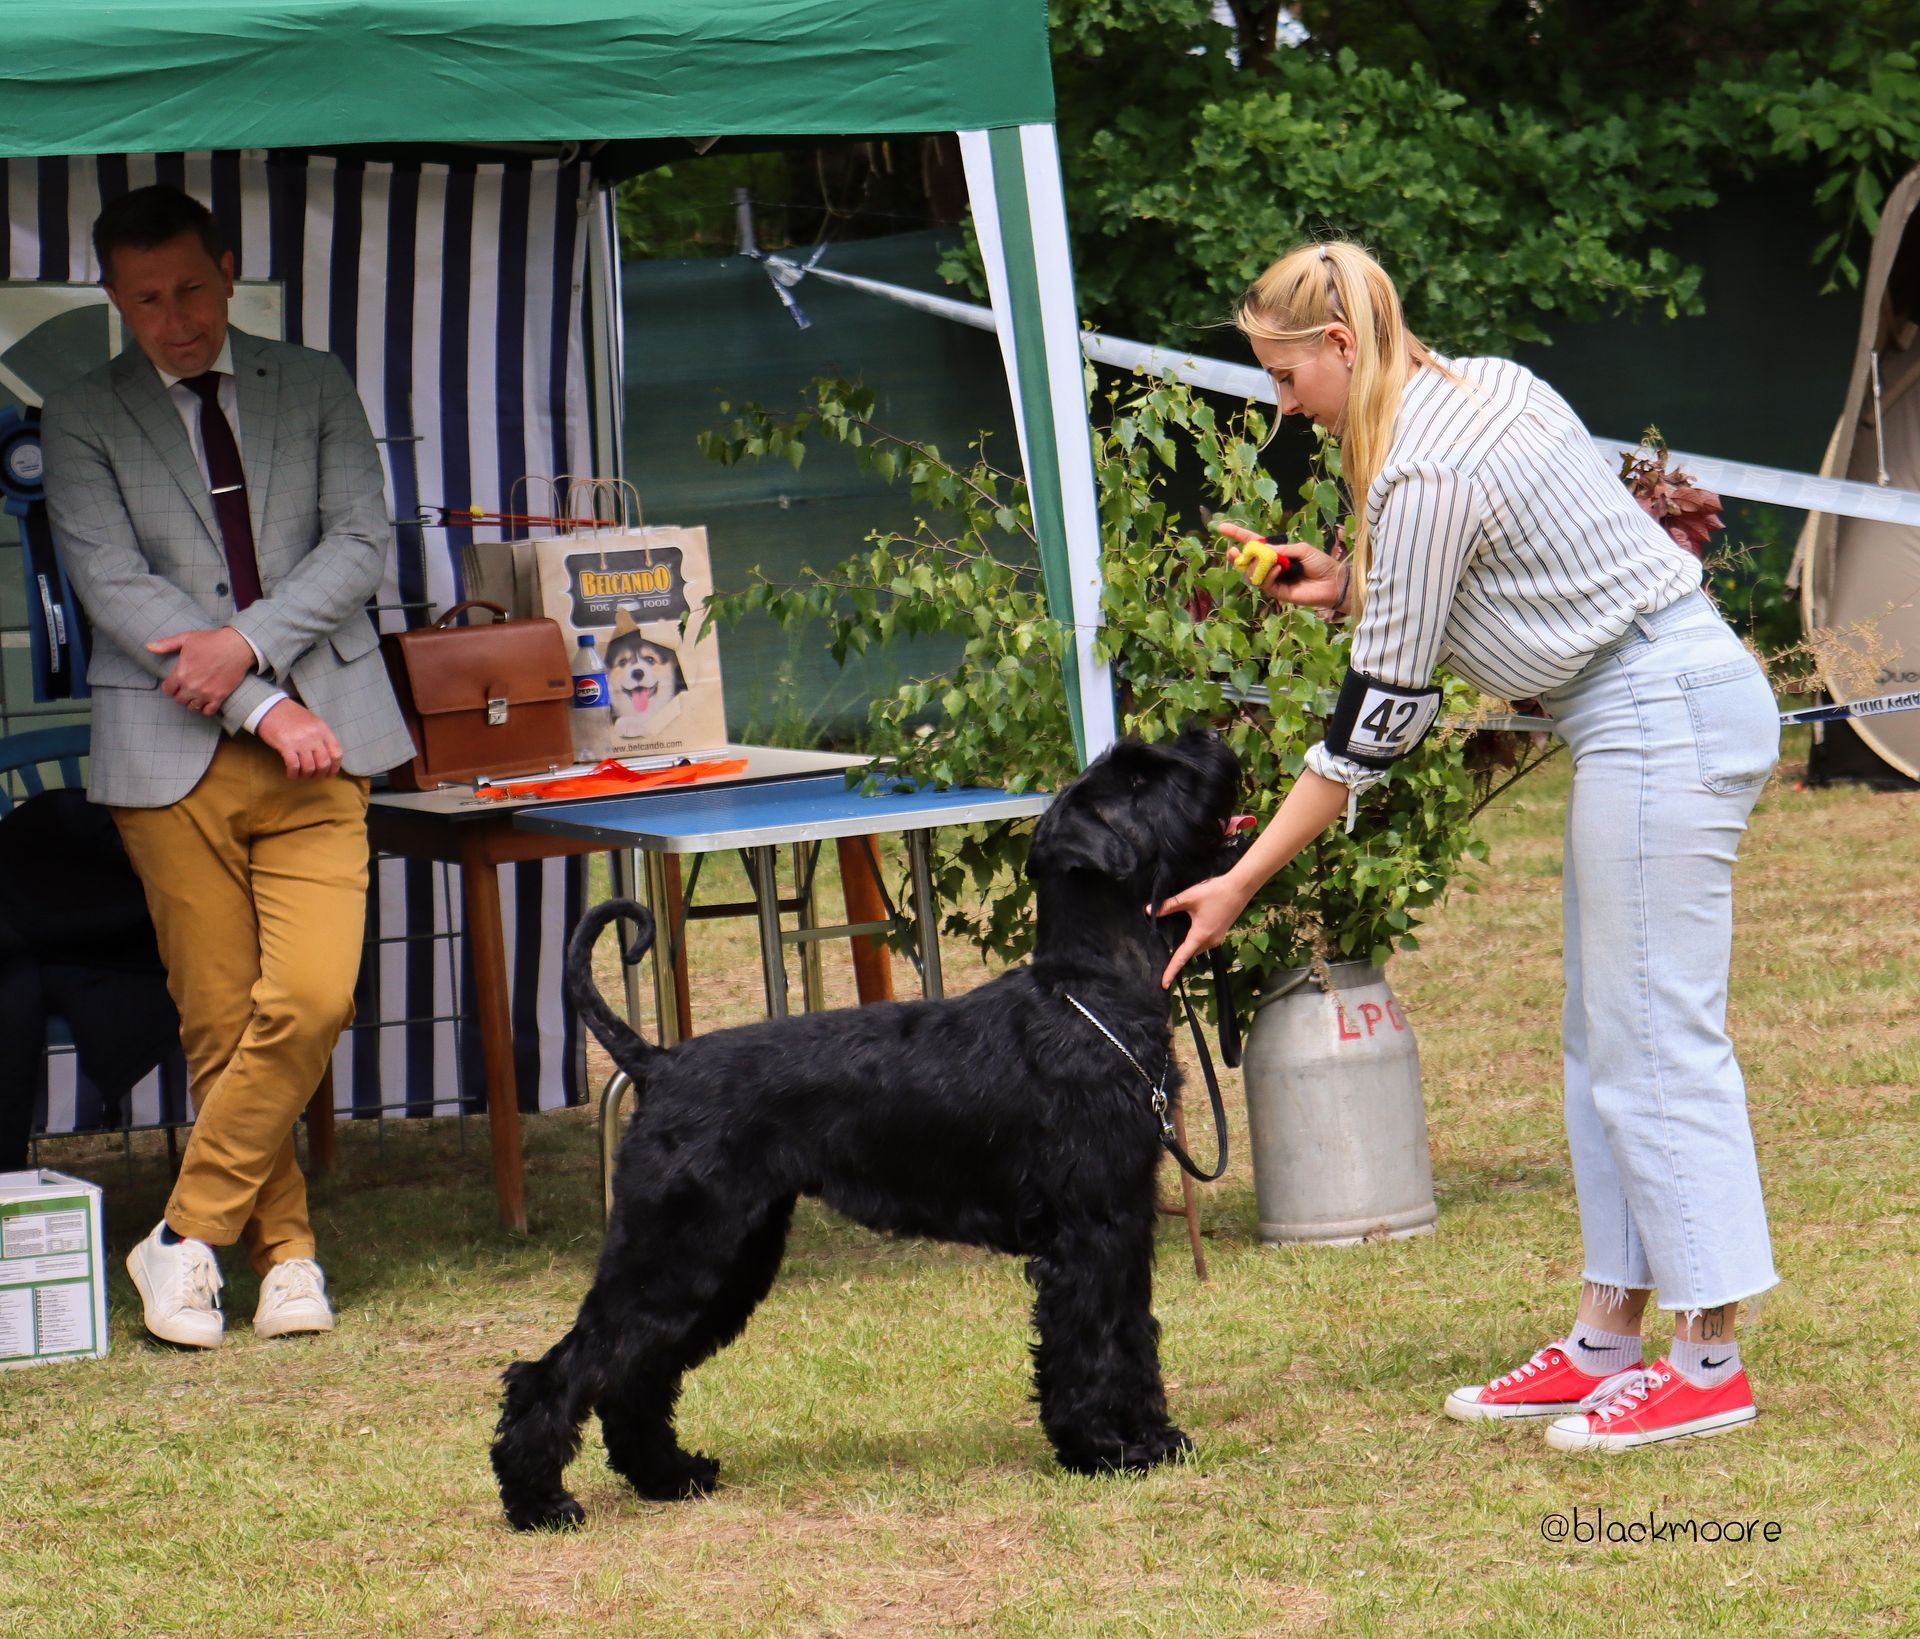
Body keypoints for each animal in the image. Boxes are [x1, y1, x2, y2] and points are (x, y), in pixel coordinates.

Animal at [490, 729, 1241, 1531]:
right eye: (1136, 779)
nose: (1211, 736)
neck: (1092, 995)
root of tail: (657, 1062)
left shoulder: (1126, 1224)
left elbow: (1134, 1337)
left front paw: (1153, 1437)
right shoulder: (1087, 1236)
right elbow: (1091, 1344)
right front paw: (1103, 1449)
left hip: (726, 1261)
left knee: (636, 1374)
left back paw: (670, 1474)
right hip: (672, 1251)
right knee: (557, 1370)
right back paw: (539, 1500)